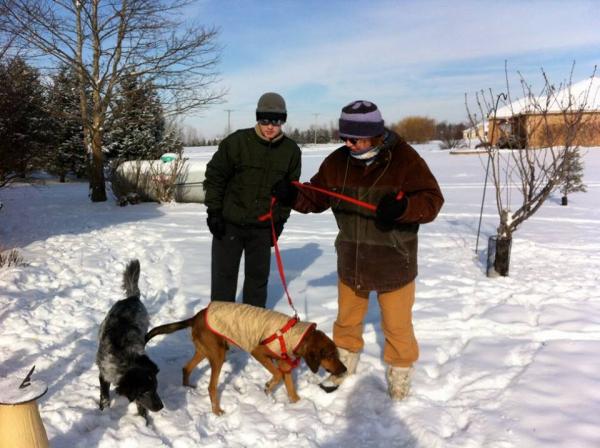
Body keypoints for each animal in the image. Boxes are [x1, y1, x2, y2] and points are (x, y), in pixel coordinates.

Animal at [95, 260, 163, 420]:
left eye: (156, 387)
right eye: (145, 391)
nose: (161, 407)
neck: (125, 357)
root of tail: (133, 297)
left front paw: (143, 419)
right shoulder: (104, 373)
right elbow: (104, 396)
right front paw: (104, 412)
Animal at [145, 302, 346, 414]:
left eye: (337, 354)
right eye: (330, 355)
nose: (344, 370)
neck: (296, 337)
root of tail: (195, 316)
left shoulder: (284, 363)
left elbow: (291, 389)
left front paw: (300, 407)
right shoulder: (258, 351)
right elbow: (277, 375)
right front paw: (268, 387)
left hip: (205, 351)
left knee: (186, 368)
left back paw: (188, 388)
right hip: (218, 355)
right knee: (211, 387)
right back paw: (216, 411)